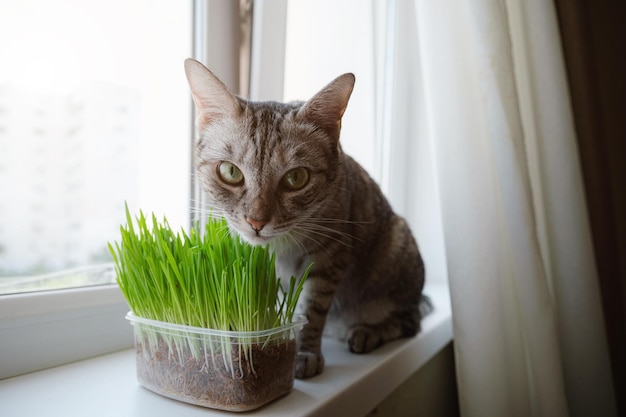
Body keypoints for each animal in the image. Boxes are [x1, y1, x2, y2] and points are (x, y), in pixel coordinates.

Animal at [183, 59, 426, 380]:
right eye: (230, 172)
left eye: (296, 178)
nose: (256, 222)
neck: (282, 247)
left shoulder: (328, 258)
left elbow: (311, 310)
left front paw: (304, 353)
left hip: (397, 251)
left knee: (409, 320)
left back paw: (366, 333)